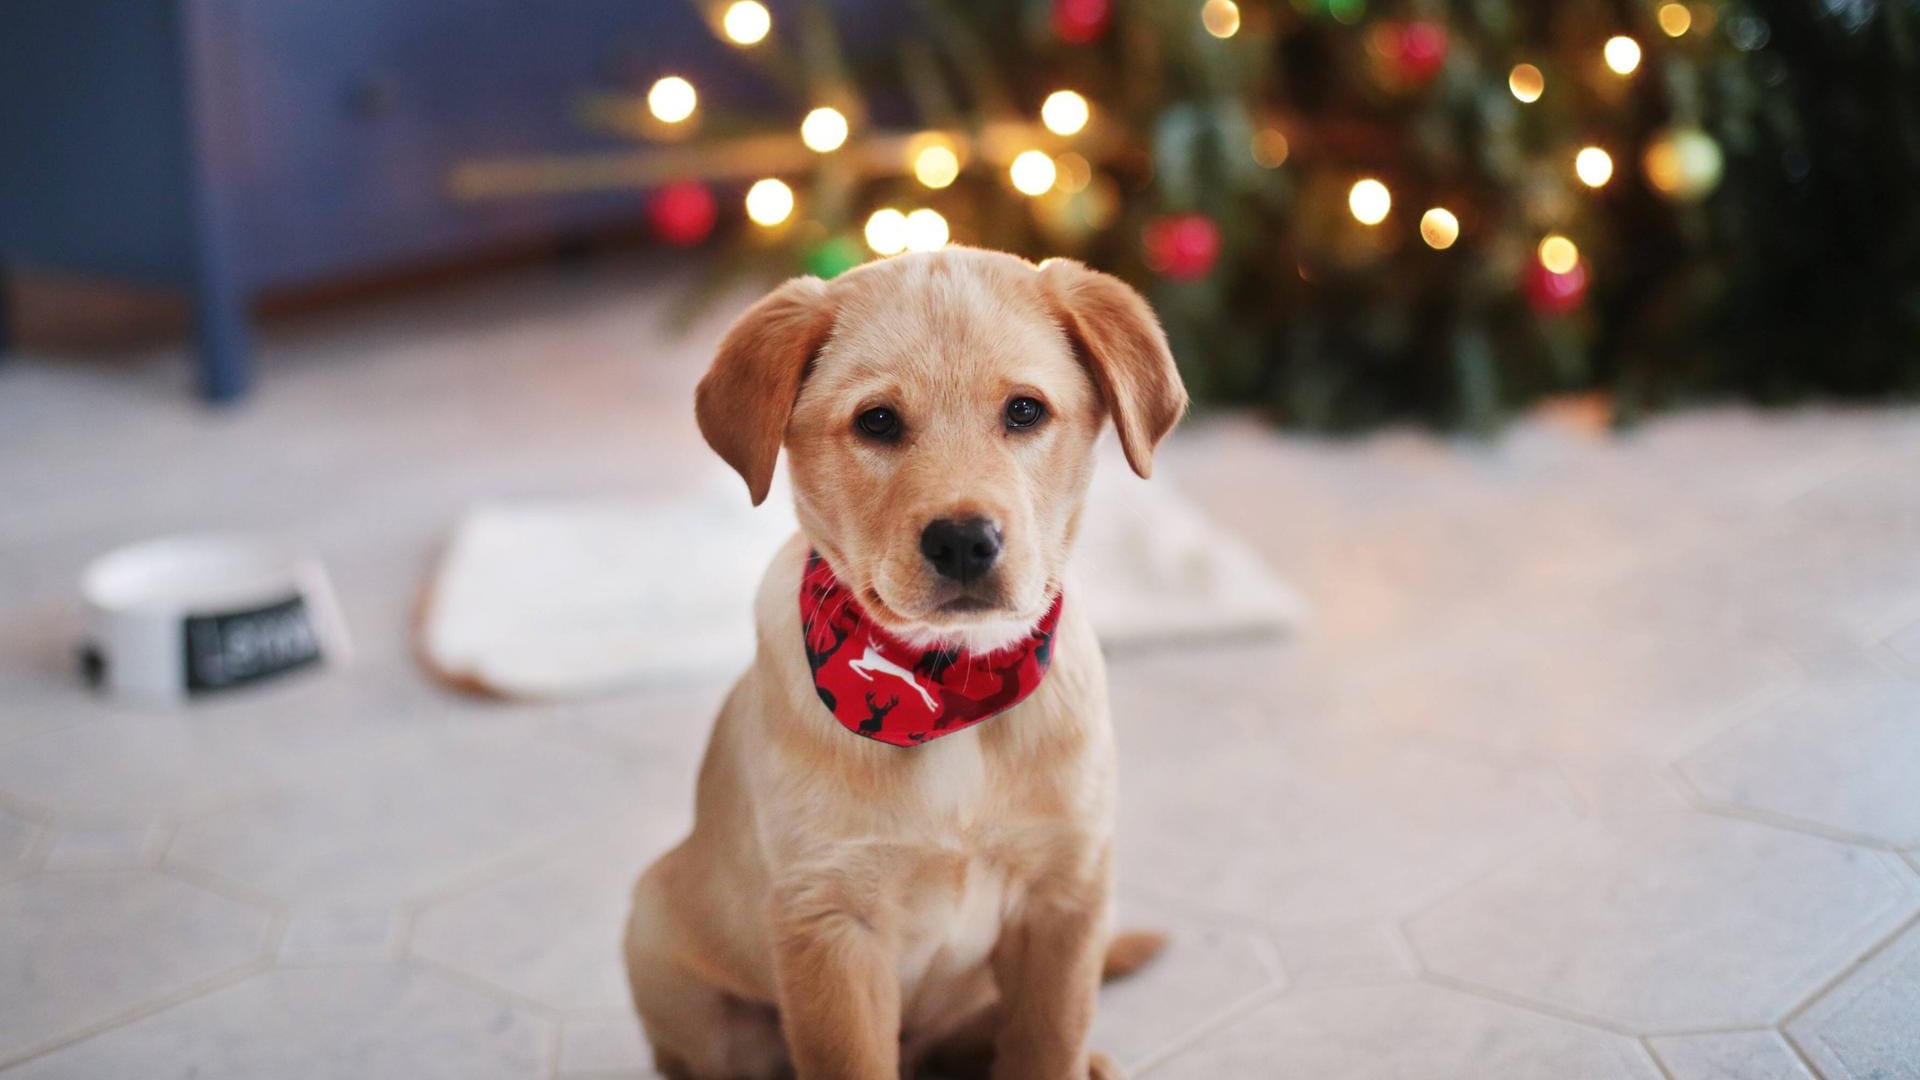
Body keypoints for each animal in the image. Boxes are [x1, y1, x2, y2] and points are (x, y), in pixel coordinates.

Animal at [622, 245, 1182, 1076]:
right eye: (877, 421)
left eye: (1025, 411)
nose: (964, 541)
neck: (953, 686)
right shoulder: (830, 921)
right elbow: (853, 1059)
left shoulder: (1066, 893)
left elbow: (1047, 1041)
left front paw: (1065, 1056)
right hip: (661, 942)